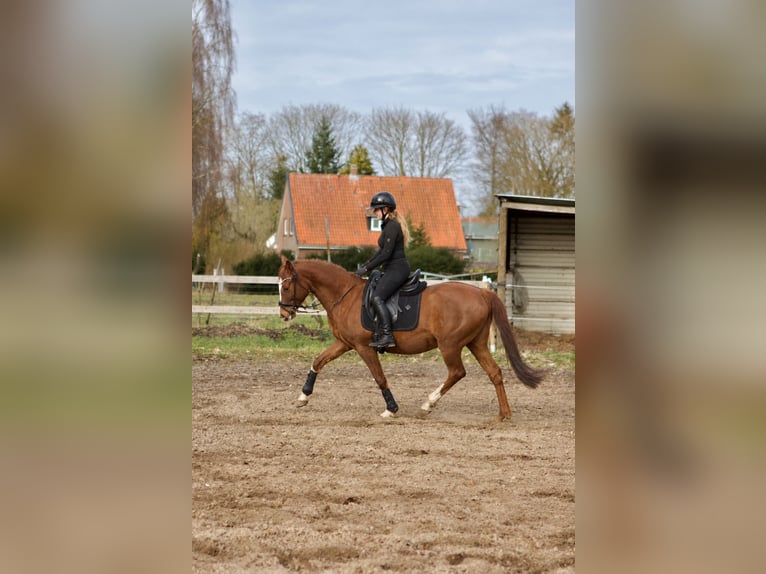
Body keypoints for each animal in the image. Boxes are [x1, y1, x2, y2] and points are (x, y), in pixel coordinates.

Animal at [277, 256, 542, 421]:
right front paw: (303, 396)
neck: (345, 295)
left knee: (457, 372)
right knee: (494, 372)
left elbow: (379, 377)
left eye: (286, 286)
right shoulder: (344, 343)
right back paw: (503, 414)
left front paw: (391, 409)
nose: (283, 314)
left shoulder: (364, 347)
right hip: (475, 343)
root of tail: (482, 293)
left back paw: (428, 405)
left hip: (450, 345)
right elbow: (318, 361)